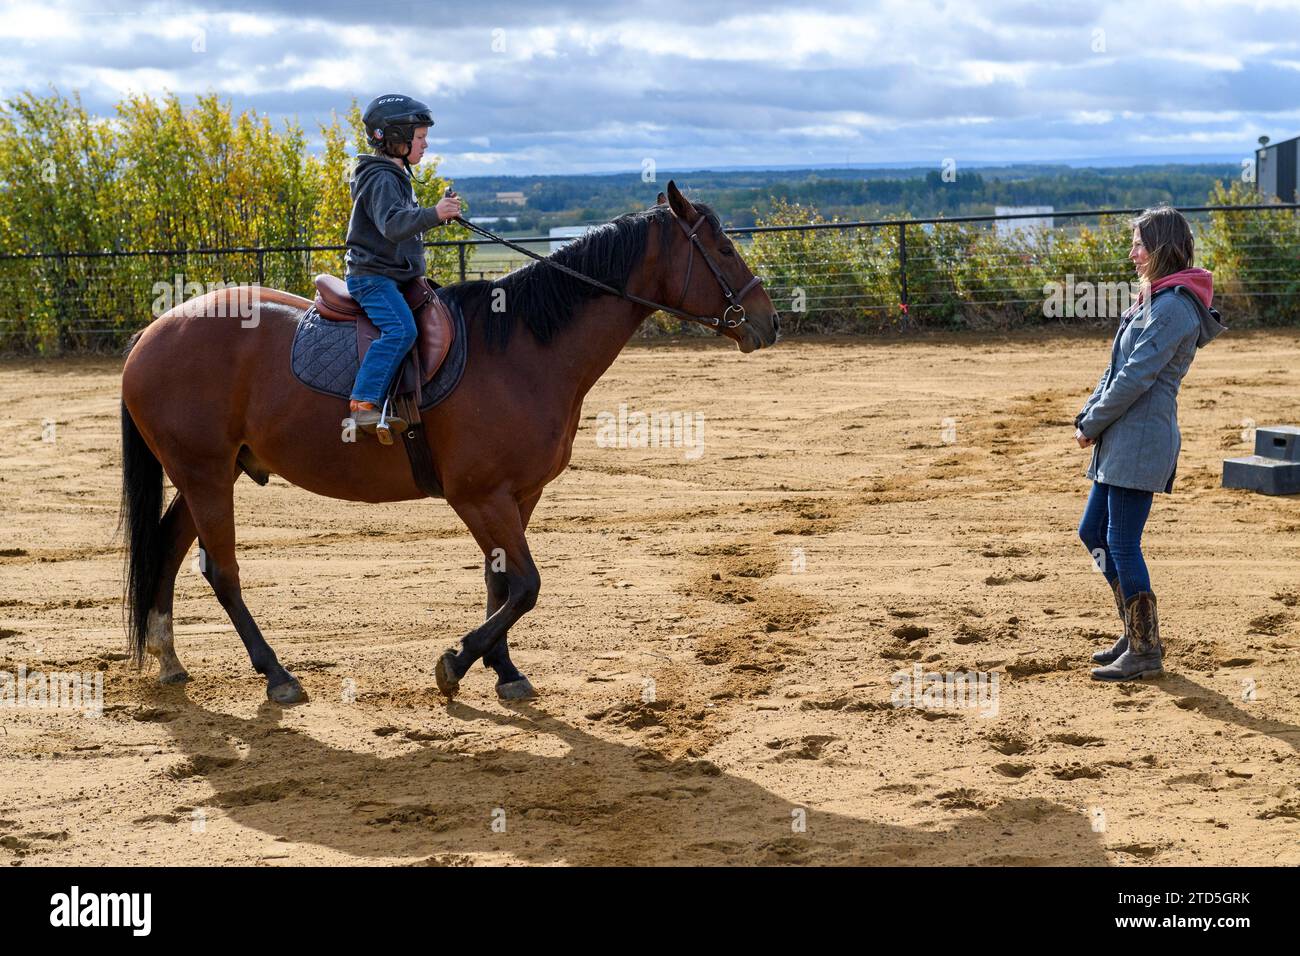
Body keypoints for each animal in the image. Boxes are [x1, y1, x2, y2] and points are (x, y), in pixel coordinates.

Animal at [119, 183, 769, 702]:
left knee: (171, 546)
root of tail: (154, 332)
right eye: (723, 249)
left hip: (211, 471)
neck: (521, 349)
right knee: (221, 568)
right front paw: (456, 663)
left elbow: (500, 581)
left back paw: (170, 658)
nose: (768, 320)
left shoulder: (517, 494)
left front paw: (503, 670)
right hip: (204, 472)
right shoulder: (478, 496)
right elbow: (527, 586)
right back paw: (276, 674)